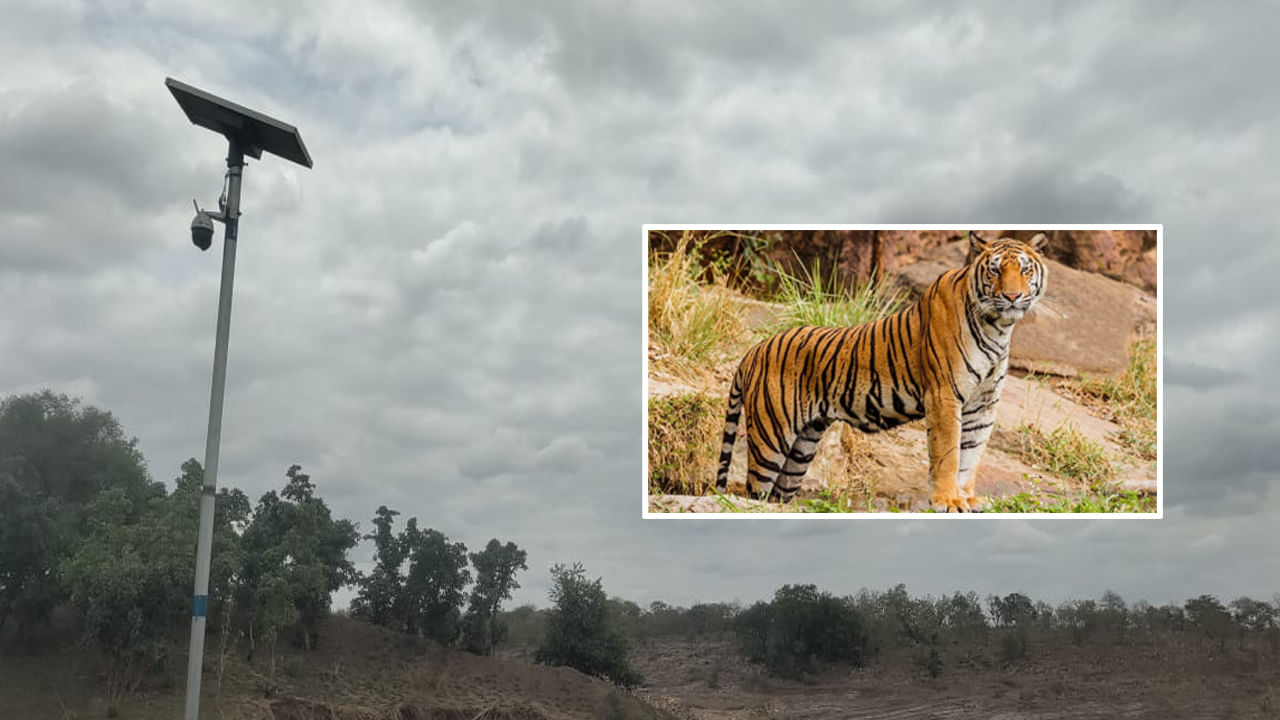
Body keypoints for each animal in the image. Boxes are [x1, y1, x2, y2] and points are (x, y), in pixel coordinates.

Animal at [714, 231, 1048, 512]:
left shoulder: (984, 404)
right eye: (995, 271)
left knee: (777, 495)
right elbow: (949, 454)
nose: (1012, 297)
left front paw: (966, 498)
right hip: (770, 438)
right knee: (754, 491)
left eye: (1025, 270)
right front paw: (947, 500)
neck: (998, 327)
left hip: (802, 447)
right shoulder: (944, 396)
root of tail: (754, 350)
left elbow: (971, 455)